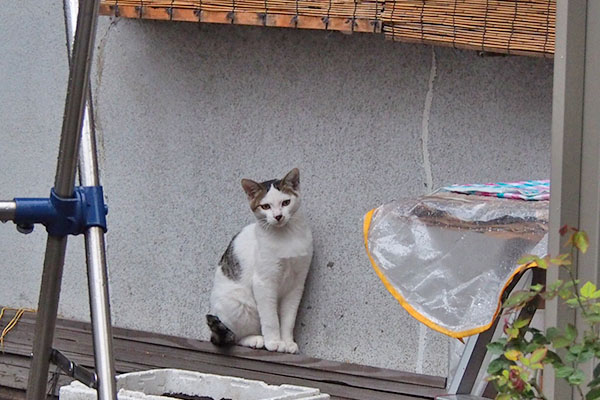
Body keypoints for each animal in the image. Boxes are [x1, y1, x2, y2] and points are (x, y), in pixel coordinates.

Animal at [207, 168, 314, 354]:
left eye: (286, 202)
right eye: (265, 206)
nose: (278, 216)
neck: (286, 236)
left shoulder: (296, 284)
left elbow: (288, 318)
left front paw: (287, 342)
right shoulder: (264, 282)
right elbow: (270, 319)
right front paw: (274, 342)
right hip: (239, 305)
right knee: (234, 337)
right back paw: (256, 339)